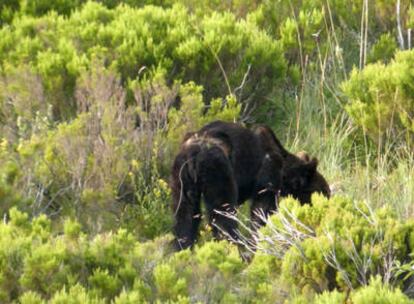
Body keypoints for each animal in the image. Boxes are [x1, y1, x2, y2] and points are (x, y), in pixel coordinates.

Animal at [170, 120, 328, 251]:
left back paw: (183, 247)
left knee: (185, 214)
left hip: (181, 176)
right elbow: (261, 209)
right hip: (217, 169)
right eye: (322, 191)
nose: (325, 203)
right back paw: (234, 245)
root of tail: (193, 155)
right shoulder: (268, 174)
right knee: (223, 213)